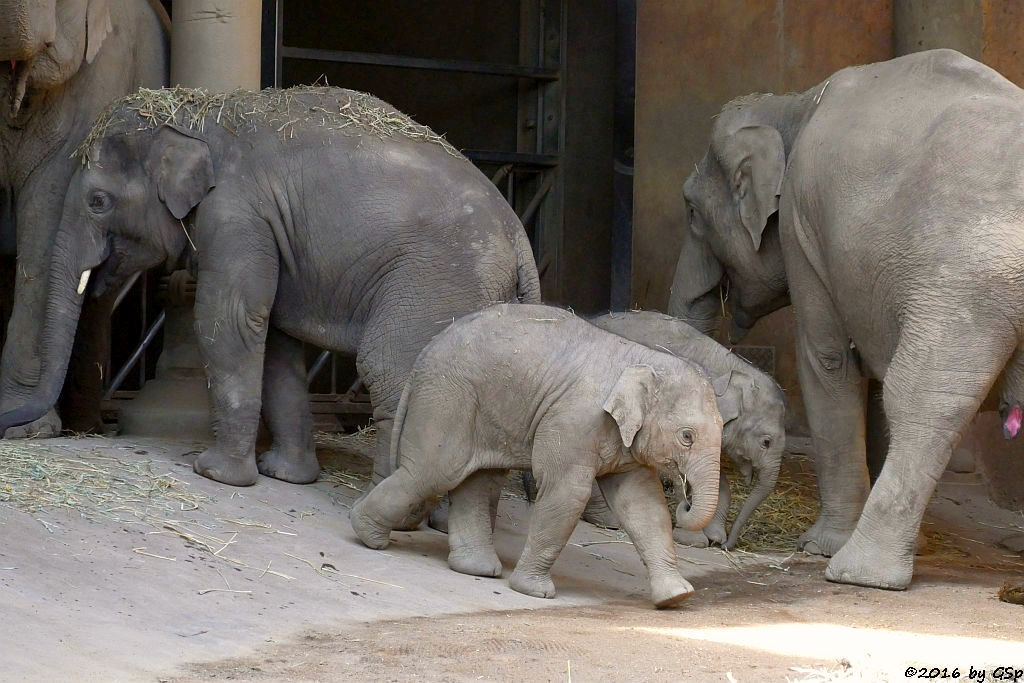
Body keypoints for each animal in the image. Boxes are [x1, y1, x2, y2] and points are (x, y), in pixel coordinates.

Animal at [0, 87, 544, 491]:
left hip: (435, 279)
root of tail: (520, 240)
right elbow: (277, 341)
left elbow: (229, 318)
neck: (197, 112)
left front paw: (215, 473)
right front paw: (285, 476)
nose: (16, 429)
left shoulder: (236, 214)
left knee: (389, 364)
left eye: (97, 201)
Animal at [348, 305, 724, 610]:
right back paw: (367, 535)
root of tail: (426, 350)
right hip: (448, 398)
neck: (641, 358)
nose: (685, 497)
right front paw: (535, 592)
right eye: (687, 436)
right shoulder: (574, 420)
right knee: (434, 472)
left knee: (478, 480)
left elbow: (644, 505)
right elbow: (567, 495)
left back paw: (478, 569)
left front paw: (677, 597)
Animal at [585, 311, 782, 548]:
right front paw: (694, 540)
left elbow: (714, 477)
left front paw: (715, 535)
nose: (727, 546)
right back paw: (607, 519)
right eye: (766, 442)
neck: (736, 367)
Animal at [667, 49, 1024, 593]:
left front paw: (820, 545)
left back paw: (859, 572)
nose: (712, 541)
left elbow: (828, 361)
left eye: (690, 211)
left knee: (924, 398)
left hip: (968, 283)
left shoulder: (802, 226)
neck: (795, 103)